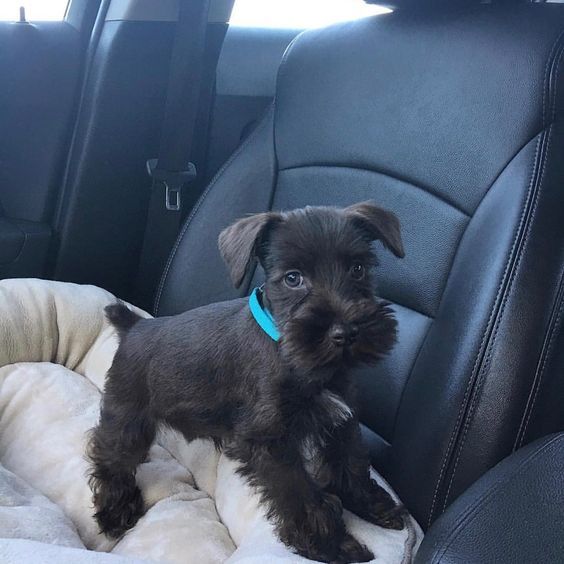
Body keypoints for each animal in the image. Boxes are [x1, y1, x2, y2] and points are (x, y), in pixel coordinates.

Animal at [87, 200, 406, 560]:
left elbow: (350, 460)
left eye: (358, 269)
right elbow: (300, 495)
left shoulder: (340, 417)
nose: (346, 332)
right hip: (128, 418)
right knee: (110, 460)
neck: (290, 350)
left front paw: (372, 505)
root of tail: (134, 327)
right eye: (293, 278)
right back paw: (115, 513)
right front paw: (331, 545)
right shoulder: (270, 443)